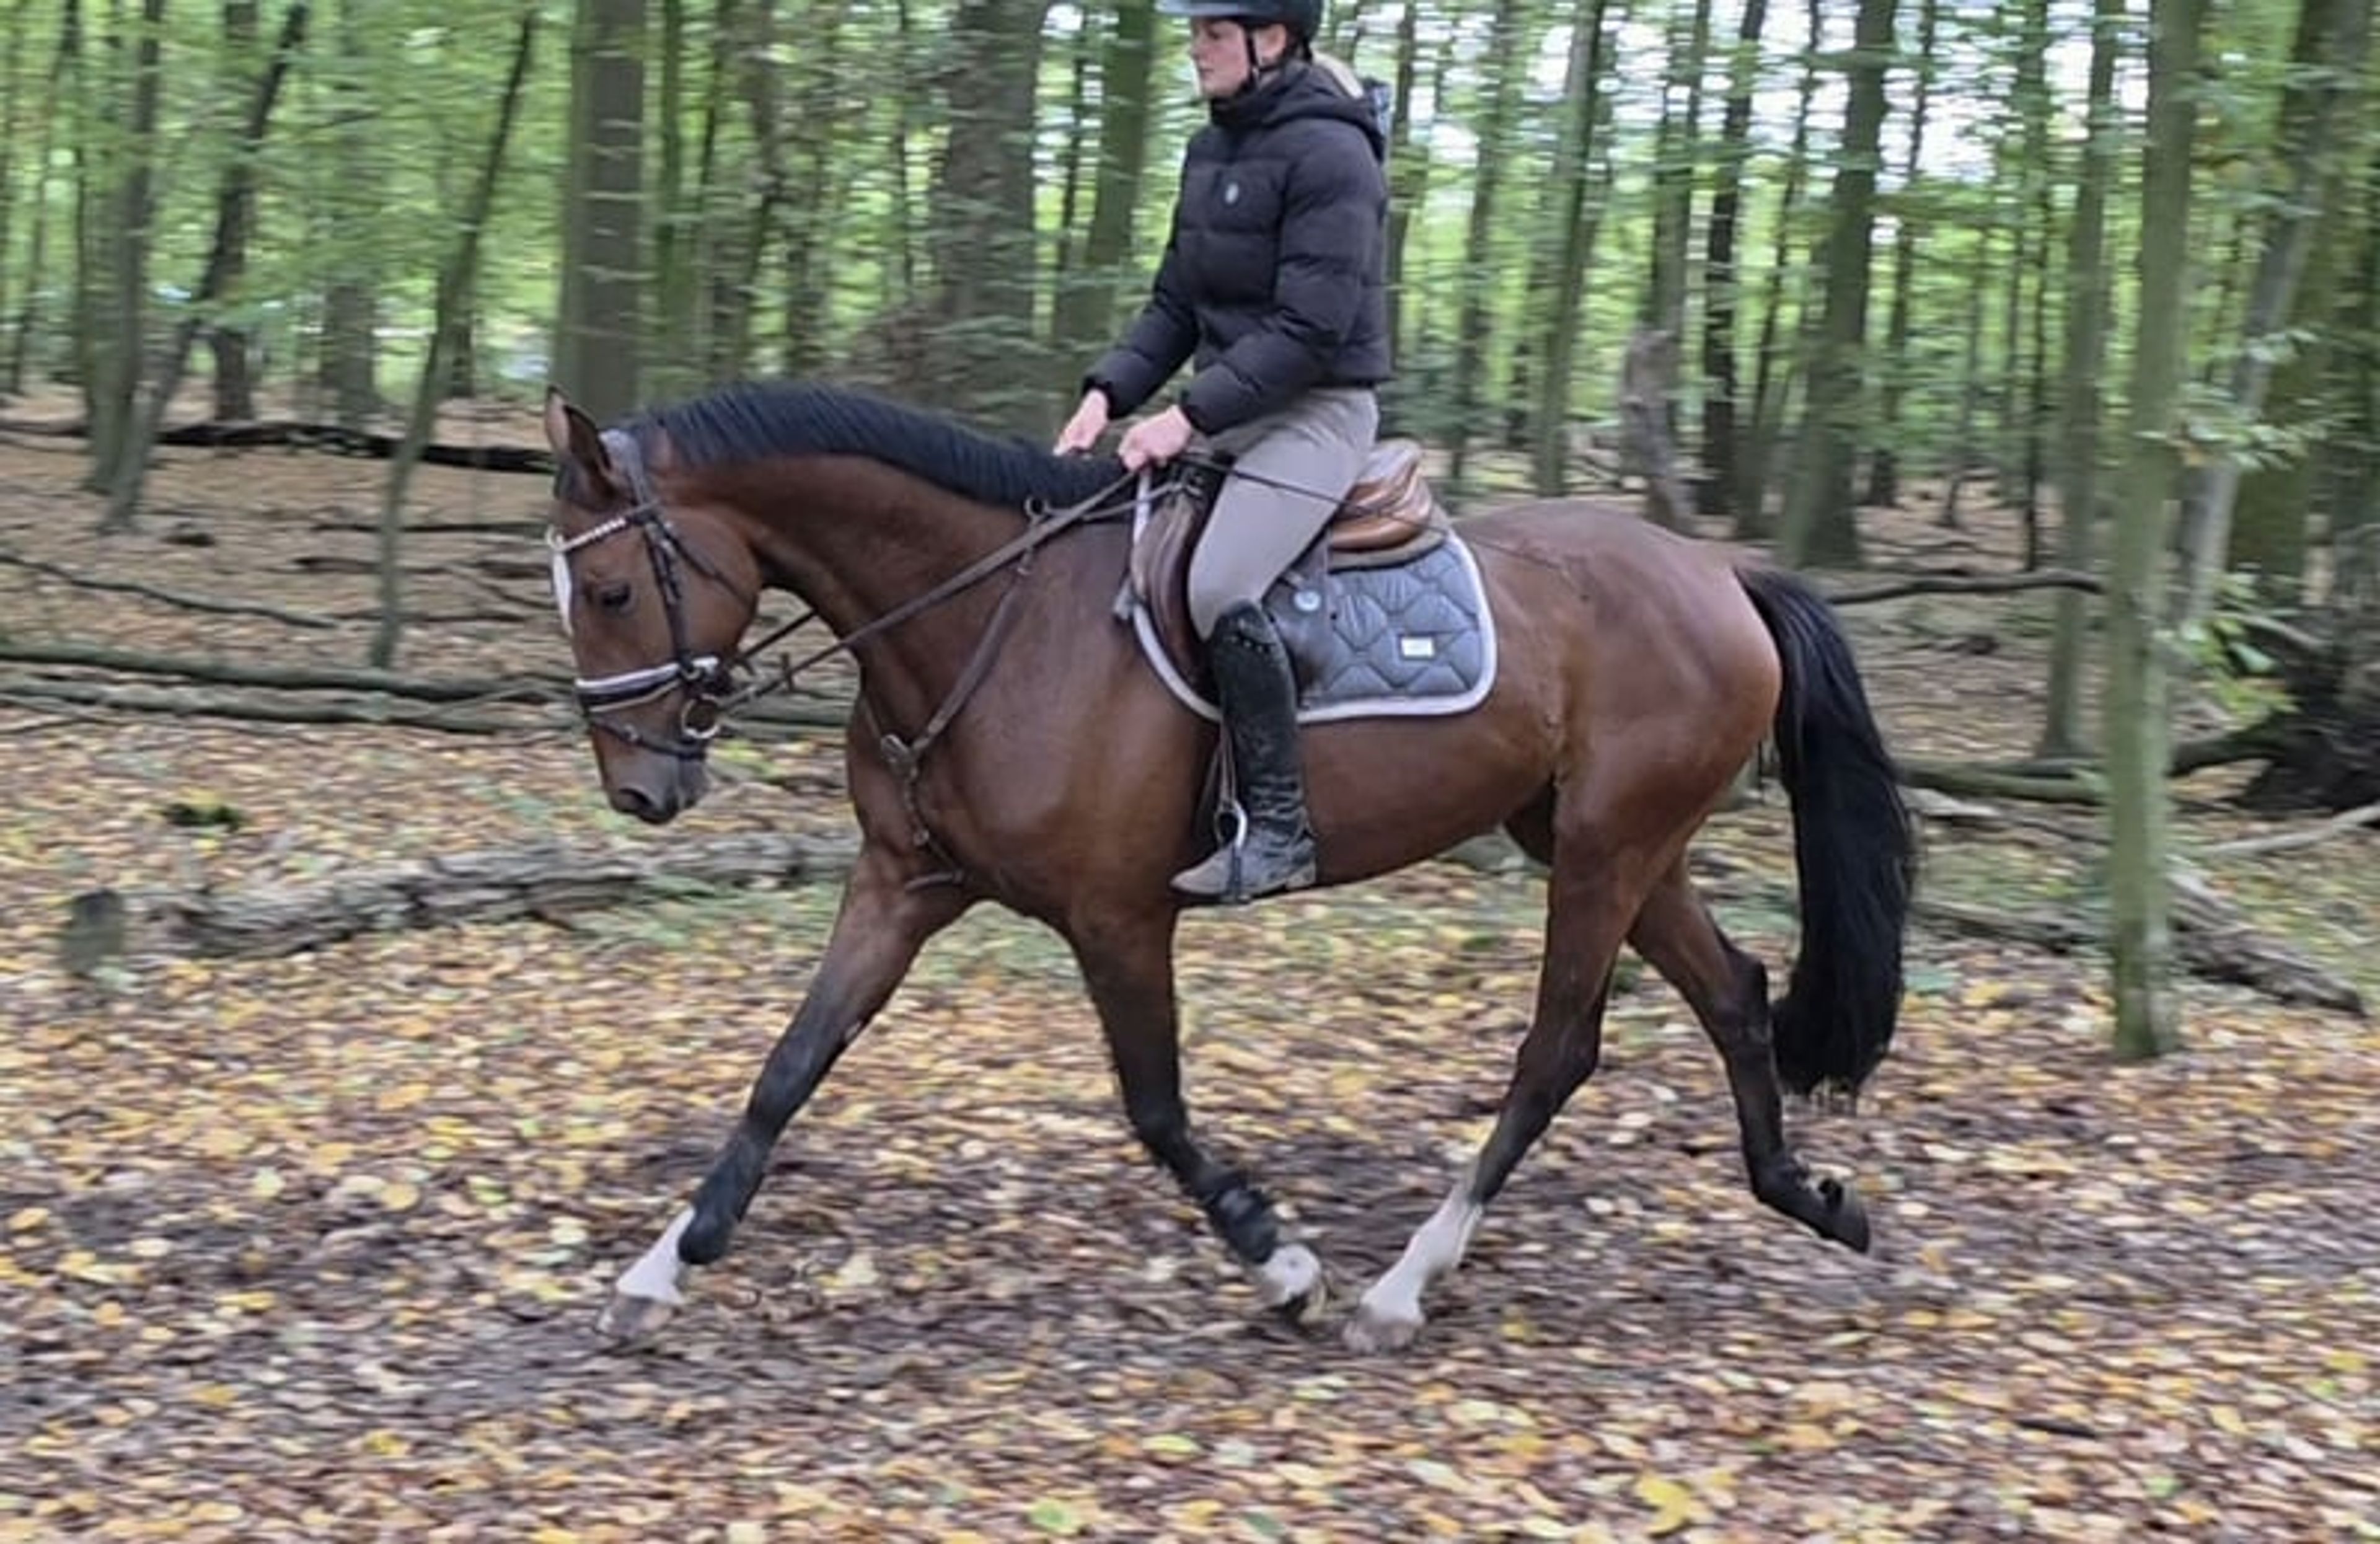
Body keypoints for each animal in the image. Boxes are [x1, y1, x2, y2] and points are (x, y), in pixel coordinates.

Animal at [537, 377, 1916, 1353]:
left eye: (608, 591)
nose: (640, 790)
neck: (986, 621)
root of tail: (1724, 574)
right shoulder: (901, 887)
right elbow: (787, 1071)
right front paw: (660, 1271)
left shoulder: (1115, 918)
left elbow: (1156, 1108)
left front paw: (1285, 1264)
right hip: (1610, 841)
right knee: (1733, 992)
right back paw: (1807, 1195)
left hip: (1603, 850)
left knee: (1558, 1051)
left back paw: (1402, 1288)